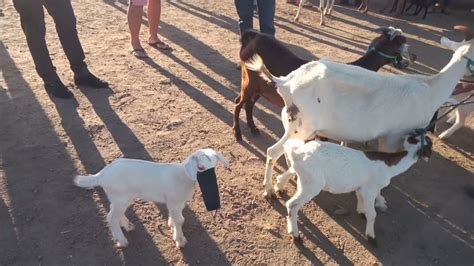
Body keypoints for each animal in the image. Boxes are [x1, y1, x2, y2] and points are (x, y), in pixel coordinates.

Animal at [74, 149, 230, 248]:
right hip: (120, 197)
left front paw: (171, 226)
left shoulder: (175, 203)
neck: (183, 176)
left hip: (118, 198)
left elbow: (176, 218)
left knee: (115, 213)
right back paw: (122, 241)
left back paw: (128, 226)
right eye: (200, 168)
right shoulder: (174, 201)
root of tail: (101, 175)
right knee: (111, 218)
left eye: (214, 165)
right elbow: (180, 220)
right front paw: (180, 241)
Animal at [244, 26, 474, 198]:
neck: (431, 89)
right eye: (400, 42)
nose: (414, 56)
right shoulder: (394, 136)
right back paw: (268, 190)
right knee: (272, 151)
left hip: (294, 125)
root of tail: (285, 82)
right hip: (301, 127)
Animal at [282, 133, 434, 245]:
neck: (389, 167)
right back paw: (296, 237)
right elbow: (372, 214)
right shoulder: (370, 189)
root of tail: (297, 153)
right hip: (312, 184)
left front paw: (361, 212)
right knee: (292, 205)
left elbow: (360, 199)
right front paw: (371, 237)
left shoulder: (362, 188)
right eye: (429, 143)